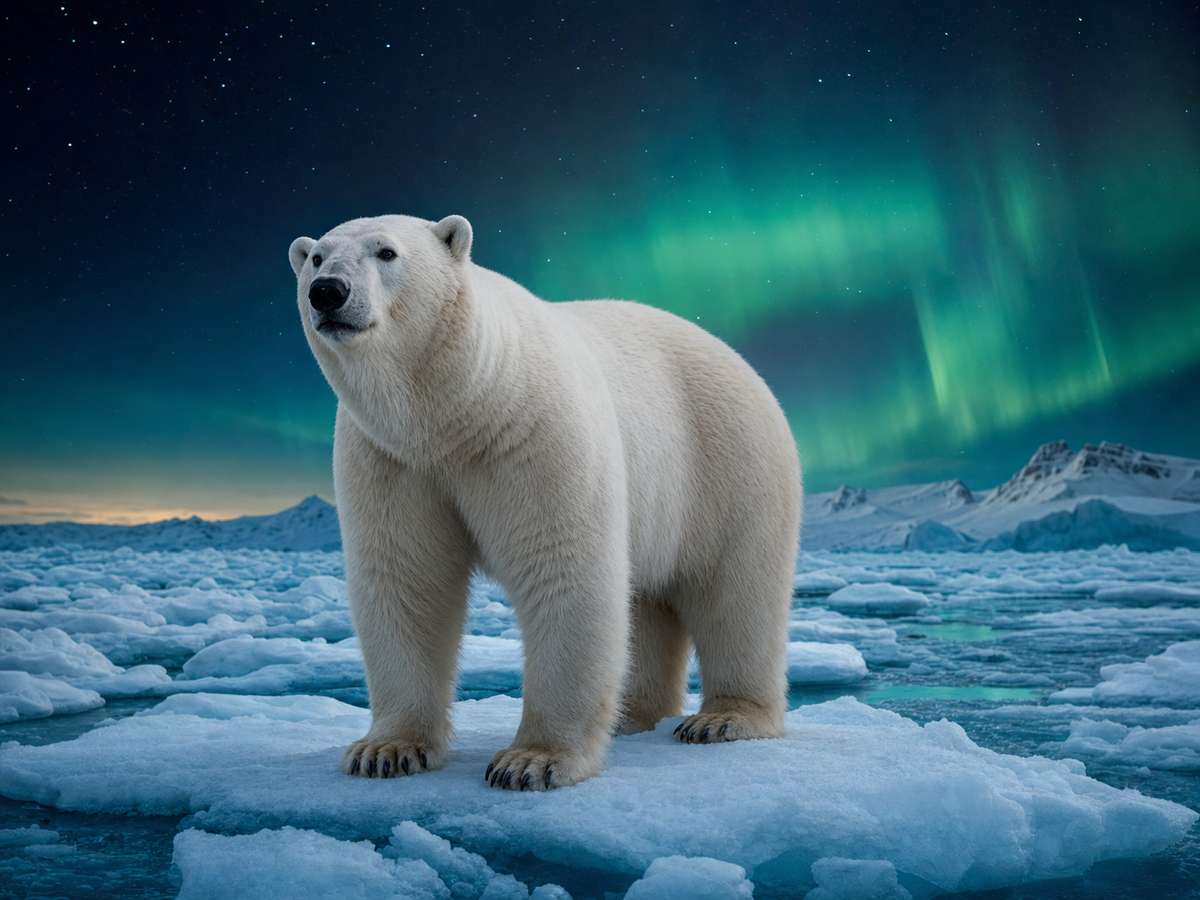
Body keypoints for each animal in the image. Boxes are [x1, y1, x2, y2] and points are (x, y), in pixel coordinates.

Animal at [288, 214, 802, 790]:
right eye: (316, 257)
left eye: (387, 252)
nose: (328, 291)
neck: (458, 409)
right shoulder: (392, 460)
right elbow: (407, 580)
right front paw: (386, 750)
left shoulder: (533, 433)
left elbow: (562, 568)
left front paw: (531, 760)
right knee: (647, 600)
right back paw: (633, 714)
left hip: (726, 466)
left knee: (737, 591)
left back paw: (723, 718)